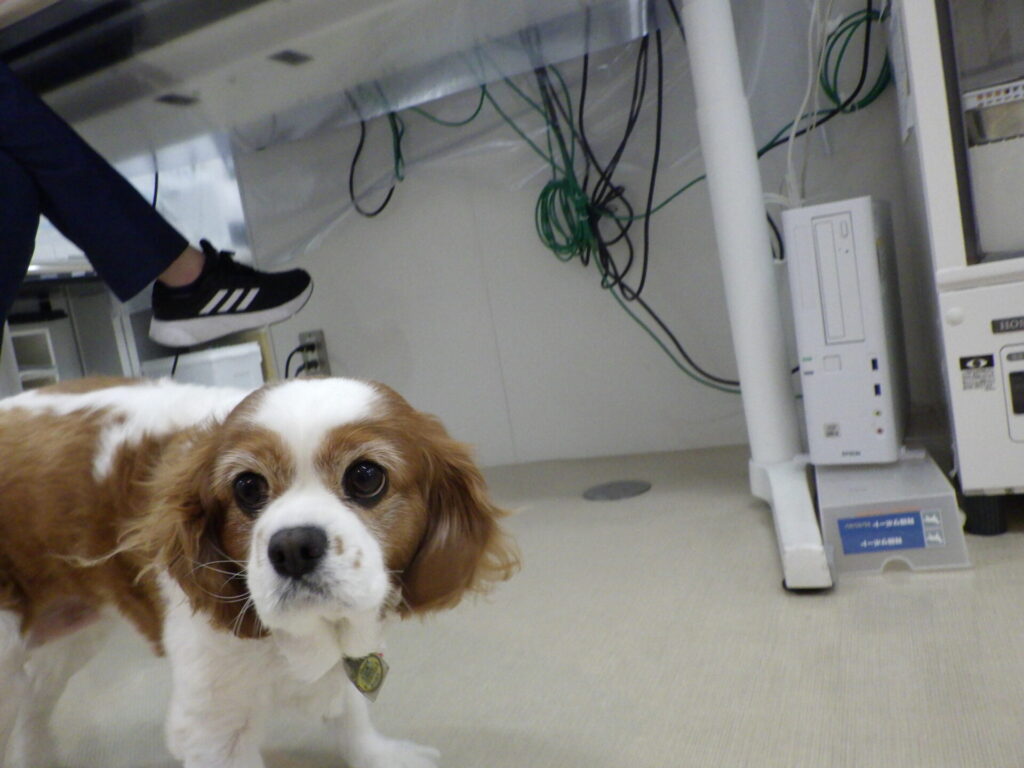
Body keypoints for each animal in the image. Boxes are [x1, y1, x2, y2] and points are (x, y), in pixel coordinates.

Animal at [0, 376, 518, 768]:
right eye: (248, 487)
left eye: (366, 476)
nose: (293, 547)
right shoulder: (213, 730)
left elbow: (352, 714)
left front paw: (380, 756)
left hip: (71, 636)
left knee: (33, 706)